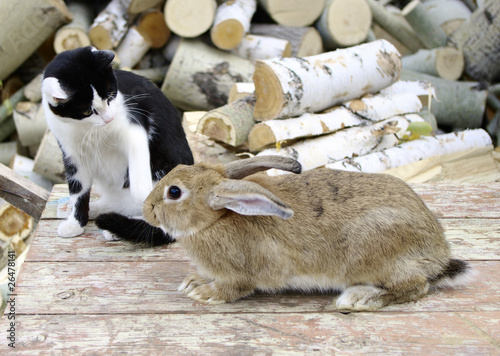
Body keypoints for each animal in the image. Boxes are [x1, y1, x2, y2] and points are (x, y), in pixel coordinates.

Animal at [42, 46, 193, 243]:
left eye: (110, 96)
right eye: (87, 111)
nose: (109, 118)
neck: (86, 129)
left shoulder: (134, 122)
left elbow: (137, 154)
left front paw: (141, 189)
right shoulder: (72, 154)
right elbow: (77, 191)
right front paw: (75, 223)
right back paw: (99, 210)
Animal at [143, 156, 470, 308]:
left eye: (174, 192)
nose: (146, 209)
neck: (217, 218)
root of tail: (438, 255)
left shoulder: (241, 274)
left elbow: (232, 289)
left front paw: (204, 293)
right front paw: (193, 281)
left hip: (377, 256)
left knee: (416, 287)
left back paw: (360, 299)